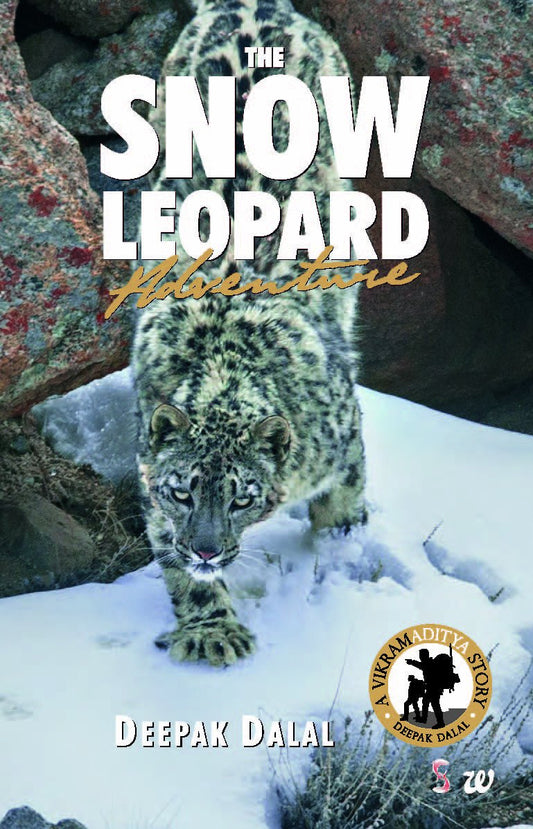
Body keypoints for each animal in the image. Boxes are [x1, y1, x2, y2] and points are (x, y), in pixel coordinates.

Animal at [133, 0, 366, 667]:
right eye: (182, 492)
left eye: (242, 495)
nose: (207, 548)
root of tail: (249, 5)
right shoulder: (148, 473)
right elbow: (173, 563)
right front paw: (212, 630)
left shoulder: (345, 432)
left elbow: (347, 487)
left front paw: (340, 537)